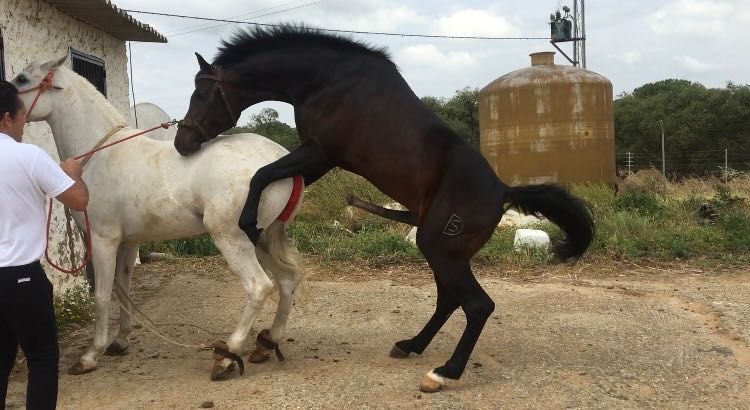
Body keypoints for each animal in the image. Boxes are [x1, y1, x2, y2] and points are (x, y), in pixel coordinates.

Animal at [12, 56, 306, 380]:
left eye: (22, 79)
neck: (103, 156)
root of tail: (277, 158)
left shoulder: (103, 240)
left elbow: (102, 295)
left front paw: (90, 356)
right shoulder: (128, 243)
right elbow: (123, 288)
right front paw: (120, 341)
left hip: (232, 238)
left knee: (259, 287)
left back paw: (227, 355)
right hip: (262, 237)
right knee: (286, 282)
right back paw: (267, 344)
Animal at [175, 25, 592, 394]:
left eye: (202, 92)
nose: (183, 142)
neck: (326, 80)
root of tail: (503, 192)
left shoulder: (319, 152)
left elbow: (262, 174)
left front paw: (249, 222)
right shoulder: (318, 159)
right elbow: (272, 178)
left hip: (440, 250)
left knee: (477, 305)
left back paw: (443, 374)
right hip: (444, 253)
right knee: (449, 300)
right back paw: (410, 346)